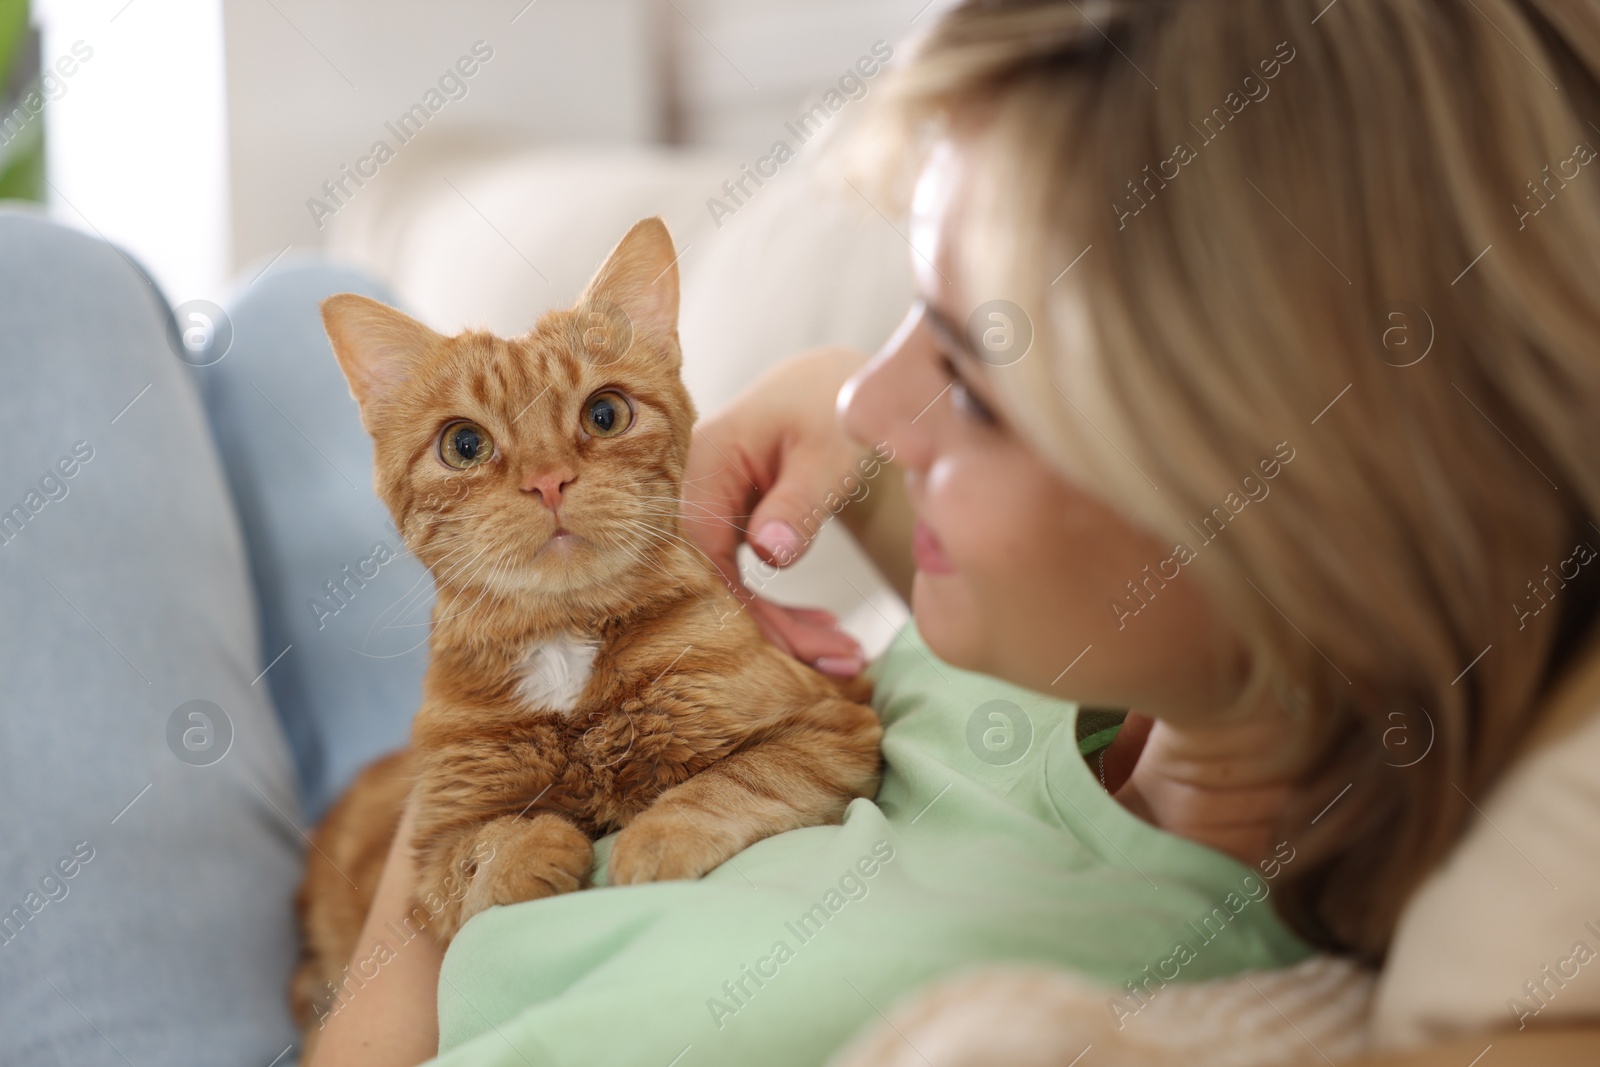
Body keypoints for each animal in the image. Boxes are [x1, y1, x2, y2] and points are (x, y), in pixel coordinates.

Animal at [291, 217, 889, 1043]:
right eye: (463, 445)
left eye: (605, 414)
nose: (548, 480)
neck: (563, 642)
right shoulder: (433, 845)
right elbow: (488, 843)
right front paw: (531, 853)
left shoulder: (832, 725)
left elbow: (733, 779)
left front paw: (656, 837)